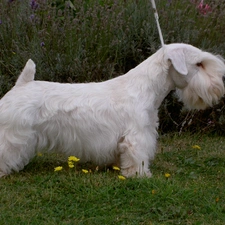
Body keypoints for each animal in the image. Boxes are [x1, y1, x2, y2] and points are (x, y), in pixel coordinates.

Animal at [0, 43, 225, 178]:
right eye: (199, 64)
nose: (219, 84)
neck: (146, 87)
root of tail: (22, 84)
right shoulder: (137, 136)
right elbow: (138, 155)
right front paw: (140, 175)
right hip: (13, 134)